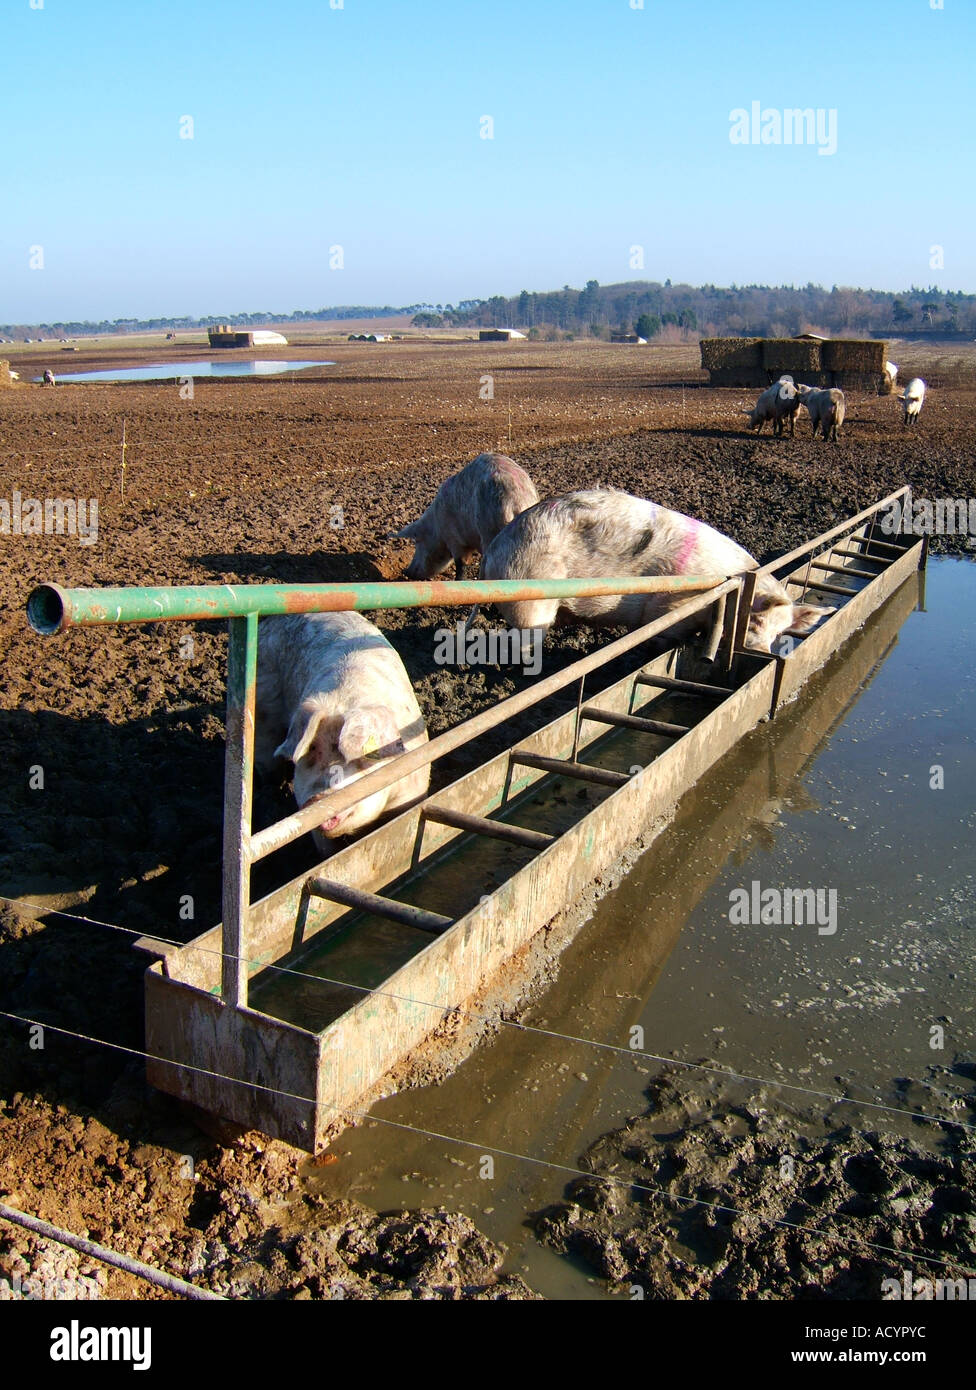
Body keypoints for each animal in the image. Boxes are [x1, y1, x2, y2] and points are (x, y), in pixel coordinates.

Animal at [392, 453, 542, 578]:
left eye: (417, 542)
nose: (406, 572)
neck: (437, 527)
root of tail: (517, 501)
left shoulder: (454, 538)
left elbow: (461, 564)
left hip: (488, 530)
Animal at [472, 489, 834, 656]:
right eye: (755, 621)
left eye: (780, 632)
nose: (762, 652)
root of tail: (495, 547)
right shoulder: (669, 608)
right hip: (530, 603)